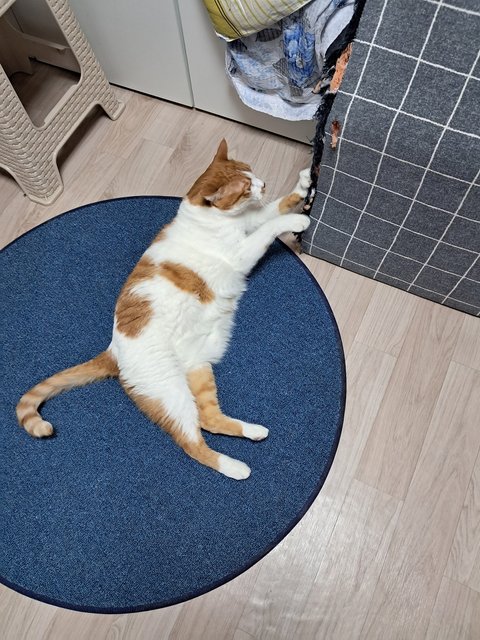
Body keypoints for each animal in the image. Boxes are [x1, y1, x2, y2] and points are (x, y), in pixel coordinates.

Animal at [16, 139, 311, 480]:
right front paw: (297, 221)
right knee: (192, 442)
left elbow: (276, 207)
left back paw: (254, 431)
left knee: (209, 420)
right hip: (171, 392)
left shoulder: (250, 221)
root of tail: (113, 349)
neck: (215, 218)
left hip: (197, 368)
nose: (263, 184)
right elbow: (271, 225)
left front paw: (304, 183)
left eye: (251, 172)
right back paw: (236, 467)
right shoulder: (242, 250)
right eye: (246, 186)